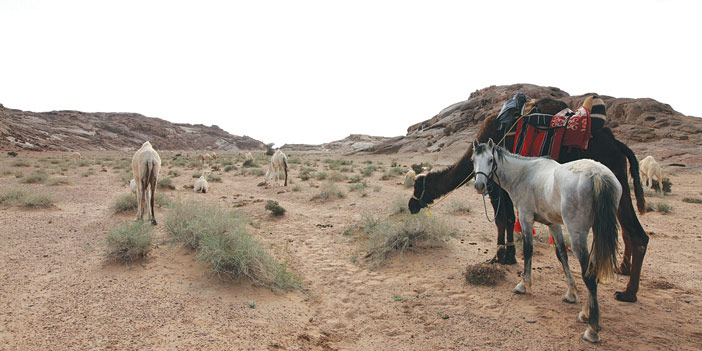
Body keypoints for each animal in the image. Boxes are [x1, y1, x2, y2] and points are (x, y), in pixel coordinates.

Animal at [472, 140, 620, 344]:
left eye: (490, 160)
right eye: (473, 160)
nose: (479, 185)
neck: (524, 174)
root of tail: (597, 174)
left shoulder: (525, 218)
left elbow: (528, 250)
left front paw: (523, 285)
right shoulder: (553, 224)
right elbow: (562, 255)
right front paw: (571, 293)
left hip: (578, 234)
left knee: (589, 275)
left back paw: (592, 329)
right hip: (597, 232)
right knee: (593, 268)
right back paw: (586, 313)